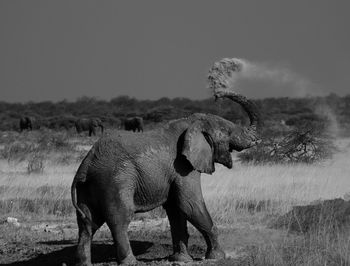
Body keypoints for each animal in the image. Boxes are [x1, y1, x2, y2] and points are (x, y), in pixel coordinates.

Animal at [70, 87, 260, 264]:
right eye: (228, 132)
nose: (217, 94)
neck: (191, 122)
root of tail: (86, 165)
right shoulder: (183, 167)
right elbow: (189, 204)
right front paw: (218, 257)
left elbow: (176, 209)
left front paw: (182, 259)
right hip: (115, 180)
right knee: (119, 219)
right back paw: (130, 262)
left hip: (89, 186)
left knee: (87, 223)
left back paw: (85, 263)